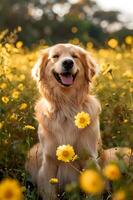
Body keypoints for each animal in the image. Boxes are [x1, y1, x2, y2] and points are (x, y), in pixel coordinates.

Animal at [25, 44, 131, 200]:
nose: (68, 63)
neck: (67, 106)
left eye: (74, 56)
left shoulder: (89, 158)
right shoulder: (49, 161)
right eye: (55, 56)